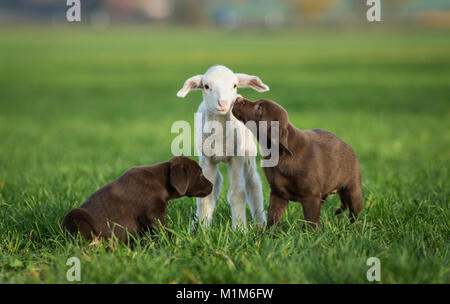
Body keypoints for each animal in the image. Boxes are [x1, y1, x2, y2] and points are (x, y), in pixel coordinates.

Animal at [61, 157, 213, 240]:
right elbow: (165, 231)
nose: (212, 185)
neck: (162, 181)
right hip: (75, 216)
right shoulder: (153, 215)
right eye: (200, 174)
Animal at [176, 65, 268, 229]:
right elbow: (206, 196)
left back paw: (260, 223)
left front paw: (240, 229)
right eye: (206, 86)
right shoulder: (207, 159)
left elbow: (237, 193)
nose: (223, 103)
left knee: (253, 184)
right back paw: (195, 223)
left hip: (248, 154)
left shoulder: (237, 158)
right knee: (217, 182)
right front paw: (204, 229)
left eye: (234, 85)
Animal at [232, 98, 362, 230]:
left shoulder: (311, 197)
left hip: (353, 189)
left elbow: (311, 220)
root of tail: (348, 146)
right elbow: (273, 217)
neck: (278, 153)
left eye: (259, 108)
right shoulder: (278, 193)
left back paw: (356, 228)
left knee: (355, 214)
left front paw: (310, 234)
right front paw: (269, 234)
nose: (238, 98)